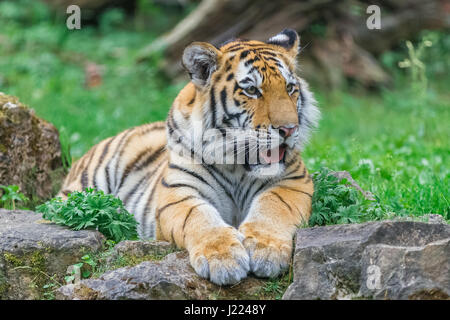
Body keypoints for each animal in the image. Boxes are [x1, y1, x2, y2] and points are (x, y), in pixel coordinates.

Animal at [59, 29, 320, 284]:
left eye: (289, 88)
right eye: (252, 90)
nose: (289, 129)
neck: (238, 165)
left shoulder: (293, 181)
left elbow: (273, 206)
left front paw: (266, 251)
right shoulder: (178, 192)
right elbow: (200, 218)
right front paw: (223, 260)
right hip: (84, 187)